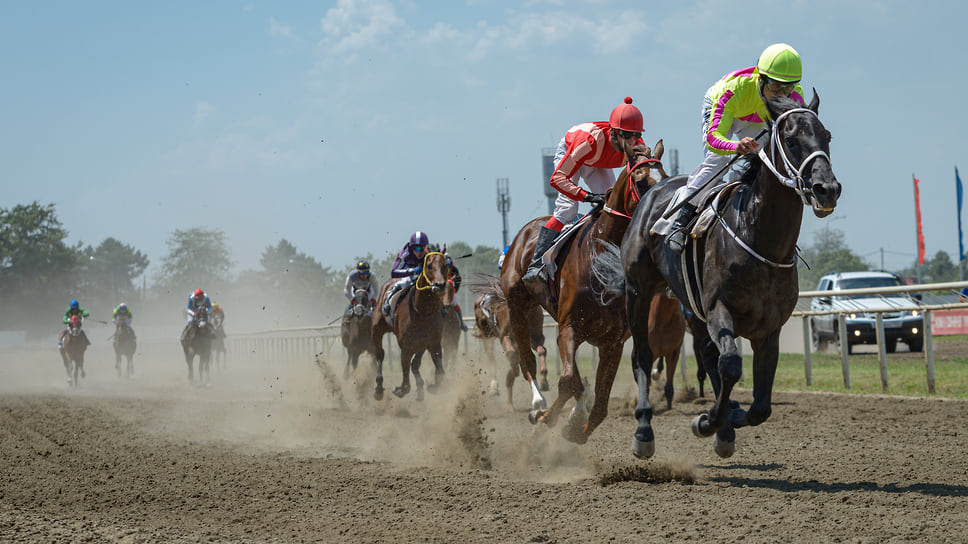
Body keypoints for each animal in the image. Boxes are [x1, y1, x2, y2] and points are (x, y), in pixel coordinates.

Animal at [370, 250, 454, 400]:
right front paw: (402, 389)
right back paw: (379, 388)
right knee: (380, 354)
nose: (439, 285)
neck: (422, 310)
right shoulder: (406, 345)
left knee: (415, 363)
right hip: (376, 329)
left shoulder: (432, 342)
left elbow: (439, 371)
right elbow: (405, 370)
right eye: (429, 266)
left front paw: (432, 387)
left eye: (445, 265)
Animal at [500, 139, 664, 442]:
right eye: (640, 180)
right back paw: (538, 404)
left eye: (666, 177)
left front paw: (576, 427)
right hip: (519, 307)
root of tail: (525, 232)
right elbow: (566, 381)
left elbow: (599, 403)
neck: (602, 258)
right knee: (527, 361)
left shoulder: (612, 342)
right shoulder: (569, 327)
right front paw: (548, 417)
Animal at [596, 94, 840, 460]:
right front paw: (708, 420)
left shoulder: (770, 327)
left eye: (827, 136)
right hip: (639, 292)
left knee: (708, 355)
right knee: (644, 356)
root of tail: (655, 191)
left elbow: (761, 405)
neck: (759, 237)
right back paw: (644, 431)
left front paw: (726, 419)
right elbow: (731, 366)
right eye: (792, 140)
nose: (827, 189)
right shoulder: (718, 308)